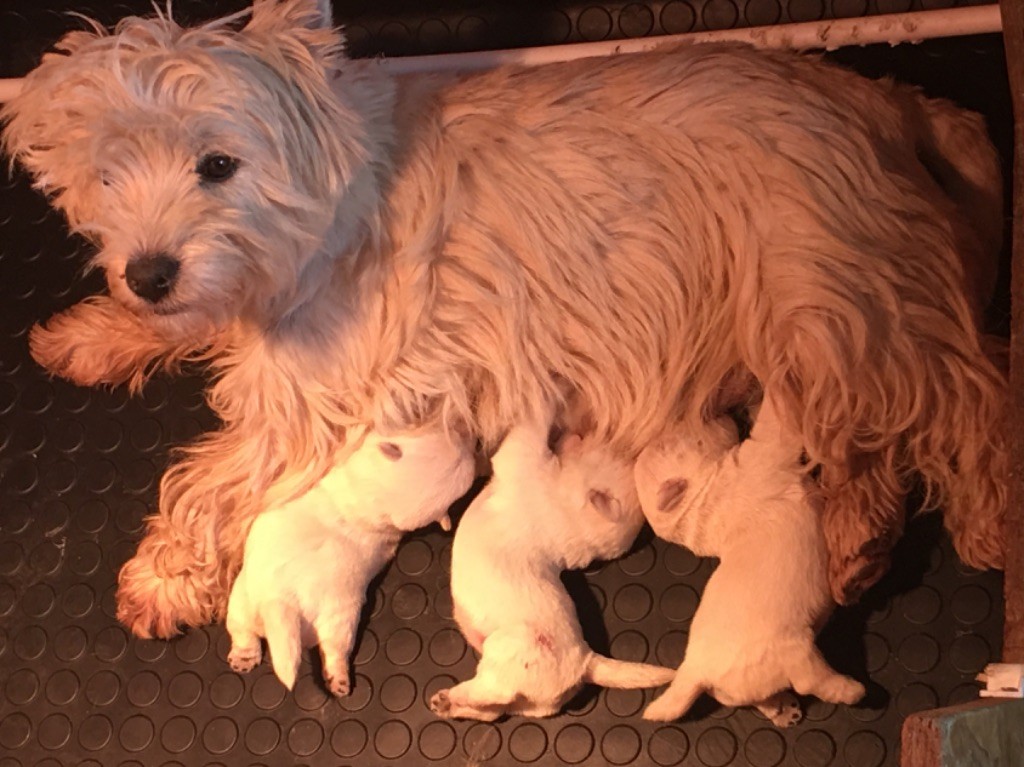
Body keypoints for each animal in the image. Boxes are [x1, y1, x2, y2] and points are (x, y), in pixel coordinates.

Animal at [2, 0, 1007, 634]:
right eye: (106, 174)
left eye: (218, 164)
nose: (151, 271)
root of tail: (883, 98)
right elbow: (175, 333)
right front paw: (90, 333)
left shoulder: (312, 397)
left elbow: (209, 480)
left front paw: (163, 575)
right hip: (834, 322)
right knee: (873, 448)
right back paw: (853, 548)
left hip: (834, 297)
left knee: (968, 398)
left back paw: (990, 520)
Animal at [428, 415, 675, 720]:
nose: (582, 433)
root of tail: (587, 662)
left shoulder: (523, 459)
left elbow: (528, 432)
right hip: (525, 700)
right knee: (490, 711)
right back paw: (446, 703)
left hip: (511, 651)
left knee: (491, 693)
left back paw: (452, 697)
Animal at [638, 401, 864, 725]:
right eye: (689, 441)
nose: (719, 412)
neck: (692, 509)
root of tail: (693, 672)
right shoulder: (760, 455)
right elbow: (774, 424)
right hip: (794, 648)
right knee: (810, 682)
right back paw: (852, 690)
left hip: (733, 688)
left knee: (755, 698)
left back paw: (782, 709)